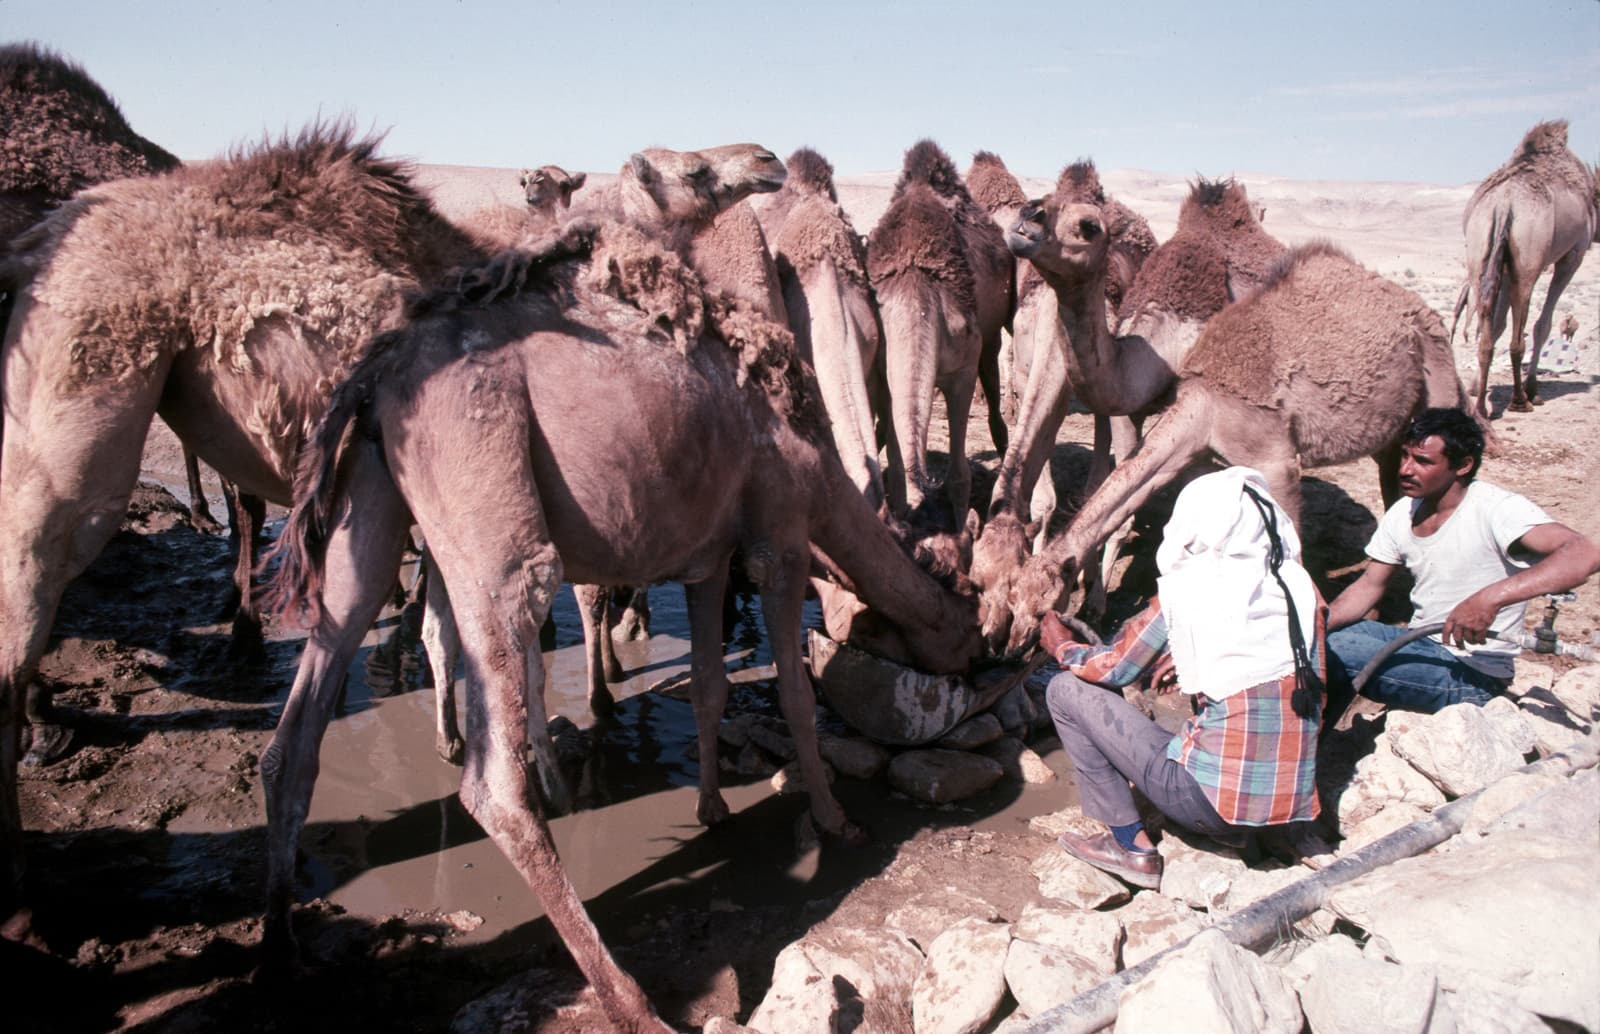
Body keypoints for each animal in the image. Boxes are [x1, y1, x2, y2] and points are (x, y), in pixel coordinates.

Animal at [260, 223, 981, 1032]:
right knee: (494, 781)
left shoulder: (709, 555)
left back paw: (279, 958)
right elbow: (797, 696)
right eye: (973, 621)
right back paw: (633, 1002)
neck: (820, 464)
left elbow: (709, 686)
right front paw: (839, 822)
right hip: (488, 506)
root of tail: (374, 377)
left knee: (297, 733)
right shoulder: (781, 535)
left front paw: (711, 809)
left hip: (370, 511)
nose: (979, 659)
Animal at [868, 139, 1012, 524]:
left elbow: (959, 475)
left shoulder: (963, 364)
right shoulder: (884, 373)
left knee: (992, 376)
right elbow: (898, 465)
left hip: (992, 334)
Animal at [974, 175, 1283, 640]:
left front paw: (1096, 605)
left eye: (1088, 226)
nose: (1028, 218)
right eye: (977, 577)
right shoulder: (1089, 396)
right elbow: (1050, 495)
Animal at [993, 226, 1469, 651]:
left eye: (1042, 606)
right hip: (1395, 427)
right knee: (1393, 482)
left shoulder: (1276, 459)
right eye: (1011, 594)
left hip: (1437, 375)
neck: (1205, 404)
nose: (1011, 644)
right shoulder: (1204, 457)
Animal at [1452, 120, 1599, 417]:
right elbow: (1544, 324)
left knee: (1486, 327)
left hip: (1480, 253)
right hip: (1527, 259)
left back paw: (1481, 406)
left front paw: (1476, 388)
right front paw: (1534, 389)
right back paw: (1520, 399)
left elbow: (1497, 325)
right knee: (1520, 334)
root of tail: (1504, 203)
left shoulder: (1503, 266)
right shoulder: (1573, 255)